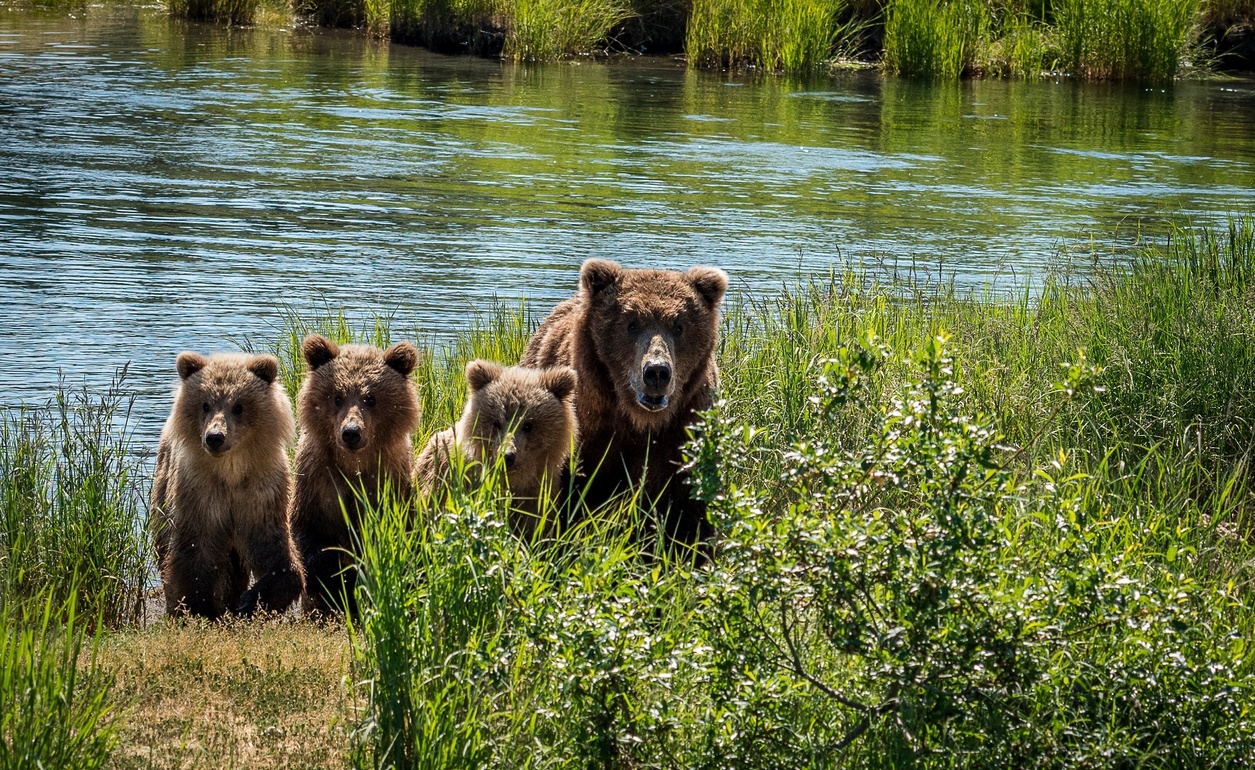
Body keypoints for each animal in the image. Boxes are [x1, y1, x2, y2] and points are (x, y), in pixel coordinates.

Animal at [150, 351, 304, 620]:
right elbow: (193, 553)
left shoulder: (260, 491)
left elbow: (273, 549)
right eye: (205, 404)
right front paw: (199, 608)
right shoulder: (199, 491)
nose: (215, 437)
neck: (231, 472)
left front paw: (250, 601)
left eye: (238, 406)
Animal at [289, 334, 420, 618]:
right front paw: (332, 568)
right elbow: (307, 534)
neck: (353, 465)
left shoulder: (387, 483)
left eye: (370, 398)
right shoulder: (316, 483)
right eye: (337, 396)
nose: (351, 432)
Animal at [520, 258, 728, 548]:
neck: (638, 419)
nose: (656, 372)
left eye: (679, 326)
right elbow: (568, 496)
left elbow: (688, 510)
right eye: (632, 324)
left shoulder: (683, 429)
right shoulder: (590, 431)